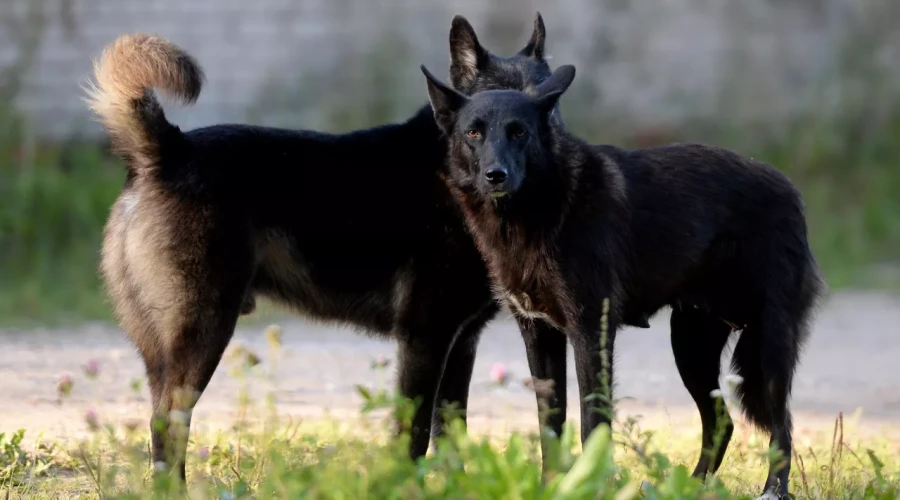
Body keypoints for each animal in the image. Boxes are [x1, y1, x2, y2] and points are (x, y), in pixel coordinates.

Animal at [84, 13, 564, 478]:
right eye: (486, 123)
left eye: (548, 106)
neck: (450, 172)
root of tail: (168, 149)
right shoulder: (424, 337)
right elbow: (412, 436)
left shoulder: (460, 342)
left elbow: (451, 437)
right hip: (203, 333)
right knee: (167, 427)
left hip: (164, 352)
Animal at [426, 62, 828, 496]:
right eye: (474, 133)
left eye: (519, 132)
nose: (495, 176)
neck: (538, 212)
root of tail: (789, 188)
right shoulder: (539, 333)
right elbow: (549, 426)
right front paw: (552, 486)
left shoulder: (591, 333)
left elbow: (592, 424)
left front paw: (593, 485)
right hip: (691, 348)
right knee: (721, 422)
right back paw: (689, 487)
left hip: (769, 345)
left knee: (782, 426)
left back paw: (773, 490)